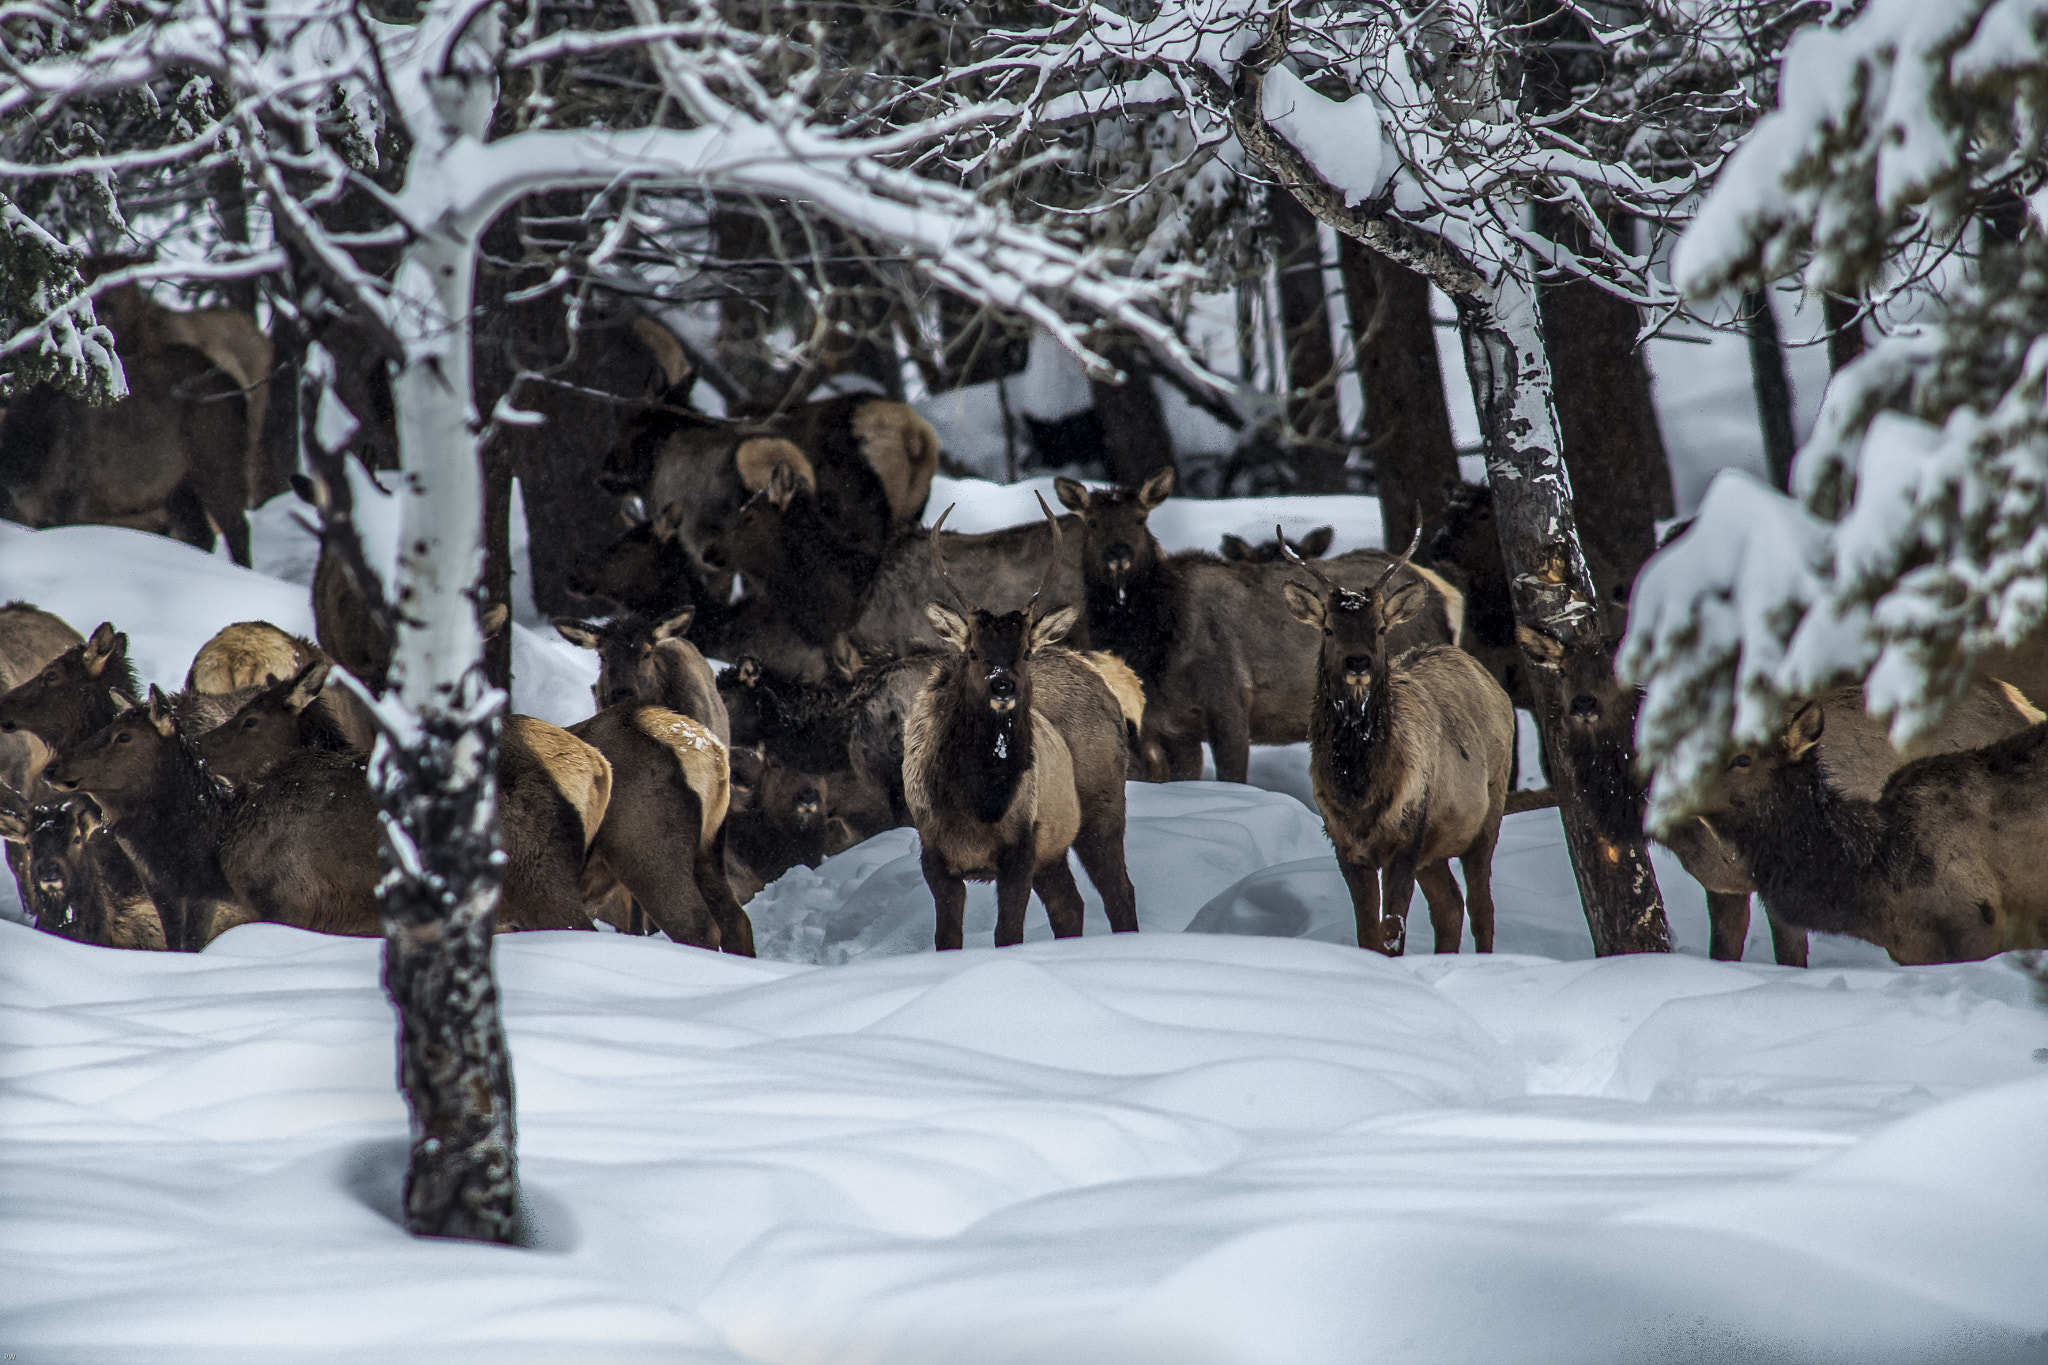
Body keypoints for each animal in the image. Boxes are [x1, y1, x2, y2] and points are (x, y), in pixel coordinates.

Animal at [909, 493, 1146, 949]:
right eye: (973, 652)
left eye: (1023, 653)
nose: (1003, 685)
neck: (977, 808)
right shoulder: (933, 853)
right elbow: (947, 938)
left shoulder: (1021, 845)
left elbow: (1008, 934)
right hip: (1054, 847)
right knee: (1070, 905)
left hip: (1104, 806)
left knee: (1119, 891)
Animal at [1048, 470, 1466, 785]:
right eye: (1092, 522)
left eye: (1140, 519)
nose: (1118, 554)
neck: (1154, 651)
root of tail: (1446, 595)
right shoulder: (1169, 728)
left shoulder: (1228, 702)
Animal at [1286, 527, 1515, 957]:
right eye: (1328, 629)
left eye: (1379, 628)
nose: (1357, 662)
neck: (1359, 794)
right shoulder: (1345, 846)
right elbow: (1368, 936)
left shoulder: (1407, 837)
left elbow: (1392, 934)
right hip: (1434, 849)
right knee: (1450, 906)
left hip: (1489, 810)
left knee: (1482, 906)